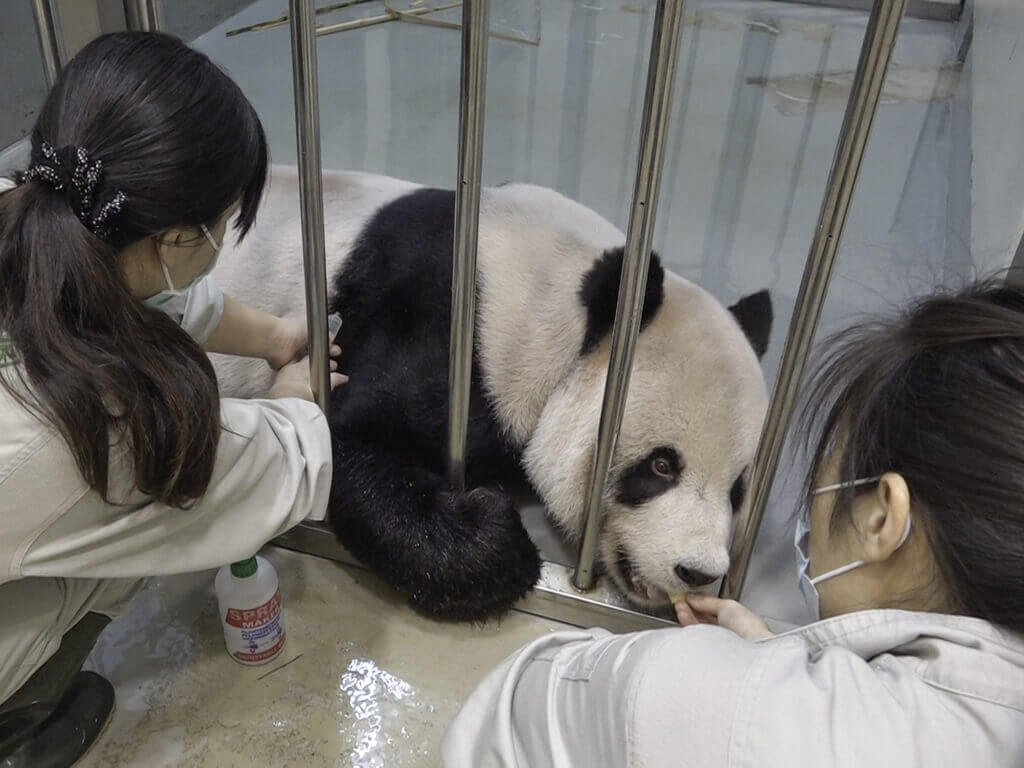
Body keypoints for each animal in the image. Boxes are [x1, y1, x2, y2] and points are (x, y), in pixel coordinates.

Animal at [218, 165, 774, 622]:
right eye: (661, 466)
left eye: (737, 490)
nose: (699, 571)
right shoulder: (441, 329)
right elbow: (345, 437)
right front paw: (500, 534)